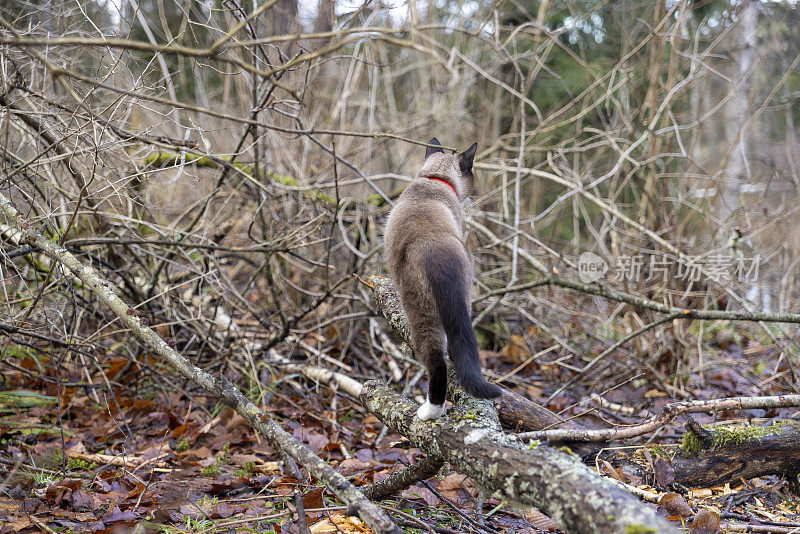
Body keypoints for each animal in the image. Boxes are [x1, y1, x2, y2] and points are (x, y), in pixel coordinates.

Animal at [382, 139, 500, 422]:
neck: (435, 179)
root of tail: (437, 251)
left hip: (420, 308)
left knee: (435, 360)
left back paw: (429, 412)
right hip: (462, 299)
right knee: (460, 343)